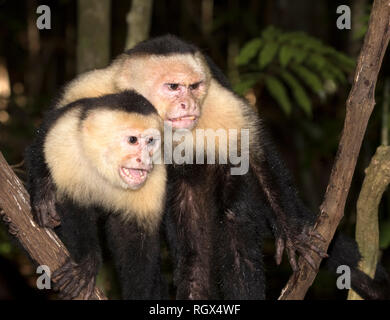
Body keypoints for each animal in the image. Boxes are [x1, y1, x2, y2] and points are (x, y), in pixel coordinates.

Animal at [25, 90, 166, 300]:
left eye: (151, 141)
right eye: (133, 140)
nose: (146, 159)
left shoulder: (155, 176)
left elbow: (134, 235)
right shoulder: (66, 136)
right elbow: (73, 202)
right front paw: (87, 263)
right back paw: (43, 193)